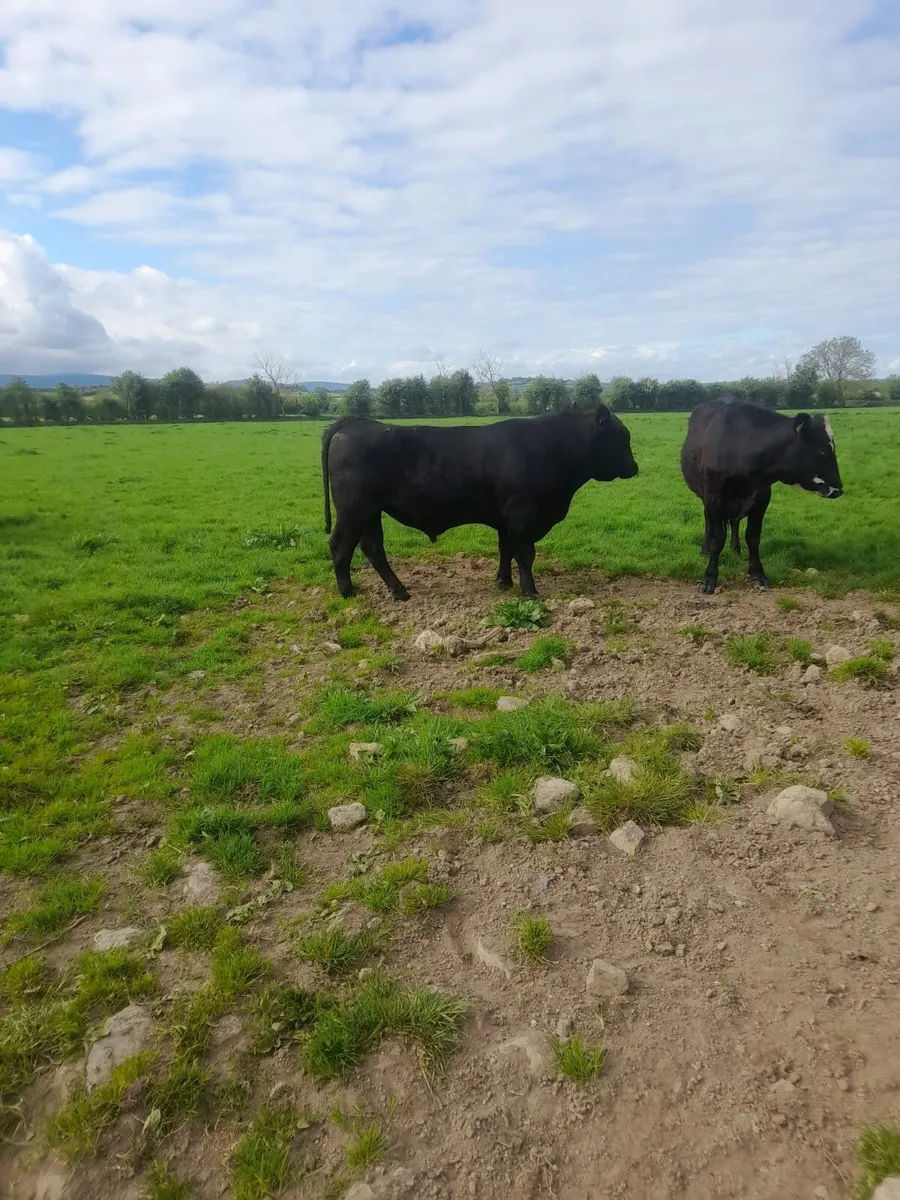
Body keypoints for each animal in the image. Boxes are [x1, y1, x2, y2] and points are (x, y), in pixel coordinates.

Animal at [321, 406, 639, 600]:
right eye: (621, 438)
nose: (634, 468)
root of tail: (354, 423)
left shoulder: (505, 517)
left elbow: (505, 550)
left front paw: (503, 583)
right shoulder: (521, 513)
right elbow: (525, 554)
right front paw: (529, 591)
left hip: (370, 512)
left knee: (372, 547)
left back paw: (399, 591)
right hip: (353, 509)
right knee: (341, 545)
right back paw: (348, 592)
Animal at [680, 398, 843, 594]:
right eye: (823, 449)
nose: (838, 489)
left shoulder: (761, 498)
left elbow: (753, 537)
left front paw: (757, 574)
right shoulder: (713, 498)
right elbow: (717, 539)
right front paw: (709, 578)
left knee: (734, 522)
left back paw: (735, 549)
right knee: (709, 522)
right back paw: (705, 549)